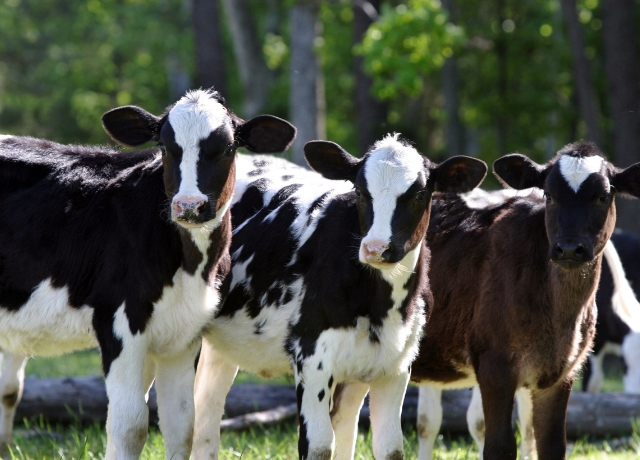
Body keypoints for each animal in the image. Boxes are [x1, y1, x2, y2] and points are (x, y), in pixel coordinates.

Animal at [0, 88, 296, 459]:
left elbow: (181, 426)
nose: (189, 206)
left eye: (228, 148)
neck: (191, 266)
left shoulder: (184, 333)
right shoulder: (118, 322)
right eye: (166, 148)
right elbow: (129, 426)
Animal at [191, 134, 488, 459]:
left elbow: (389, 447)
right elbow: (319, 445)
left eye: (419, 195)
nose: (376, 247)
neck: (379, 305)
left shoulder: (395, 366)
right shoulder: (311, 358)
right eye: (359, 191)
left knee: (205, 416)